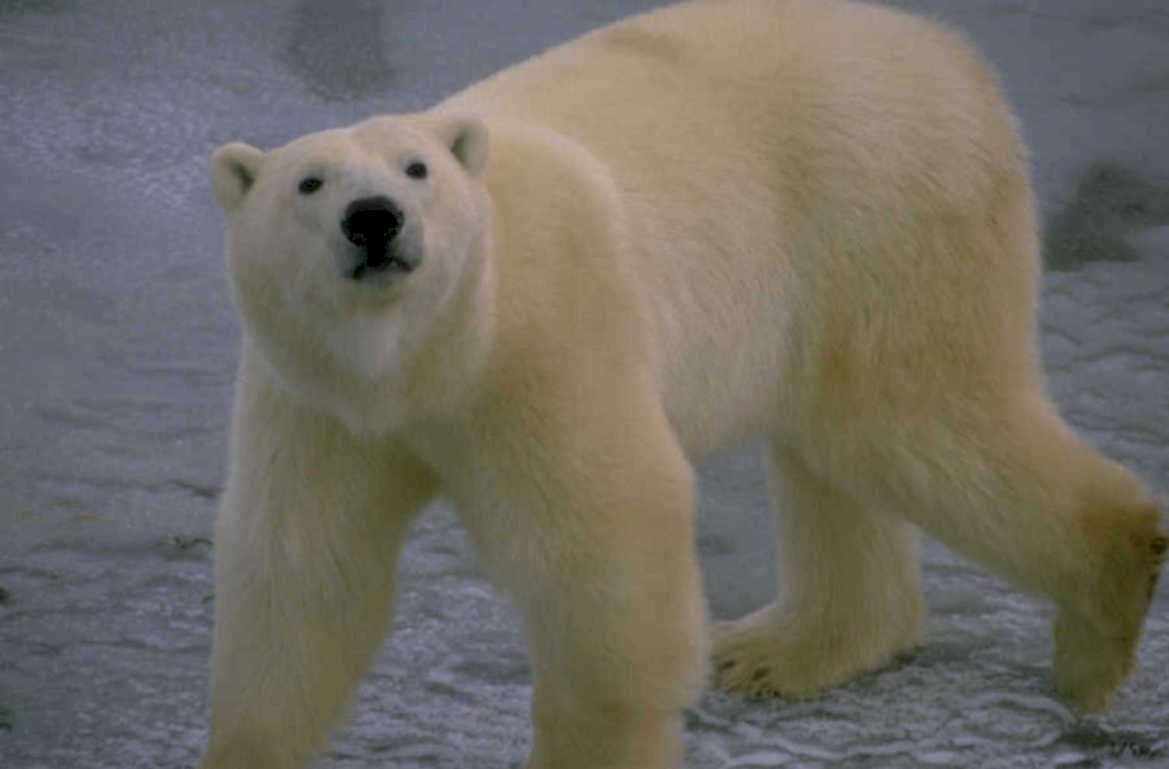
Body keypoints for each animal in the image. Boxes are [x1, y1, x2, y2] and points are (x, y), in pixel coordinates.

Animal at [202, 1, 1166, 768]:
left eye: (416, 169)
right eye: (308, 182)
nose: (374, 221)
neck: (423, 359)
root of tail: (953, 53)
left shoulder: (544, 339)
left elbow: (605, 535)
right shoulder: (318, 392)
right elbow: (303, 570)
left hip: (881, 213)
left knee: (915, 419)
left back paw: (1098, 622)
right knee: (833, 450)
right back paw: (783, 648)